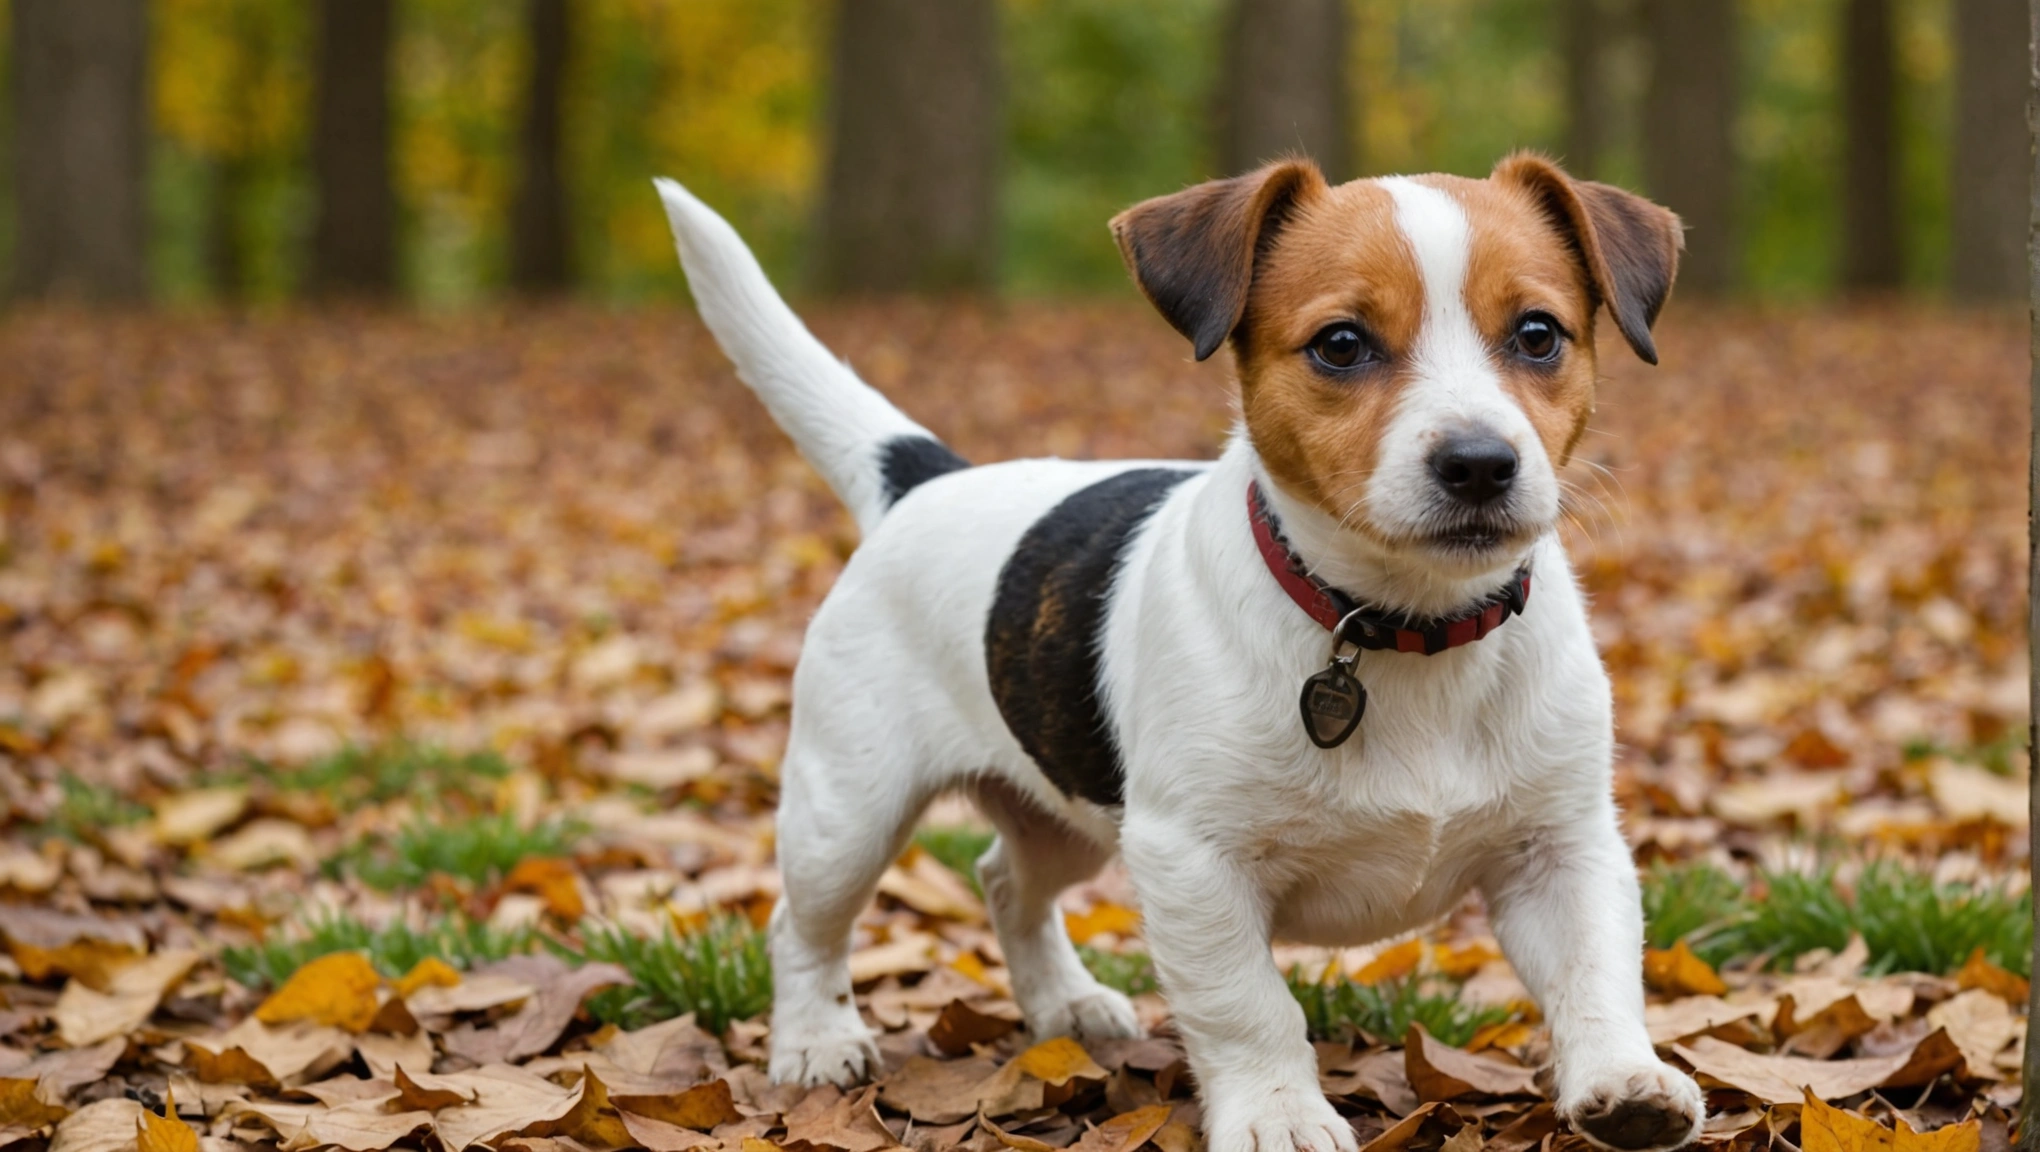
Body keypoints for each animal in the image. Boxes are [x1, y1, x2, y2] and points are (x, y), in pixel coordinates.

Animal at [652, 152, 1705, 1149]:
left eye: (1538, 334)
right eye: (1341, 344)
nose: (1482, 464)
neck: (1399, 627)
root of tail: (925, 480)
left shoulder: (1564, 850)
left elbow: (1596, 976)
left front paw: (1626, 1081)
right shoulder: (1191, 861)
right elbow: (1248, 1007)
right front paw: (1278, 1113)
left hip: (1065, 817)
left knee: (1007, 884)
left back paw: (1066, 1002)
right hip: (849, 811)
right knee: (804, 924)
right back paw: (816, 1040)